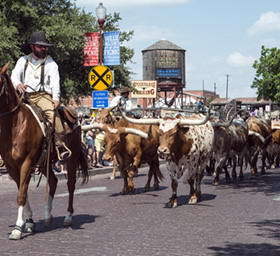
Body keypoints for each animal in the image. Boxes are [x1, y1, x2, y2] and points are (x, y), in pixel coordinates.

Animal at [0, 63, 88, 240]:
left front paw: (17, 229)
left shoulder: (26, 163)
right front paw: (29, 223)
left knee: (70, 184)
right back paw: (48, 216)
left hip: (72, 158)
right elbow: (23, 192)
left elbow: (21, 195)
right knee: (53, 181)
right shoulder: (12, 166)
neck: (15, 124)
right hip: (43, 163)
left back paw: (68, 217)